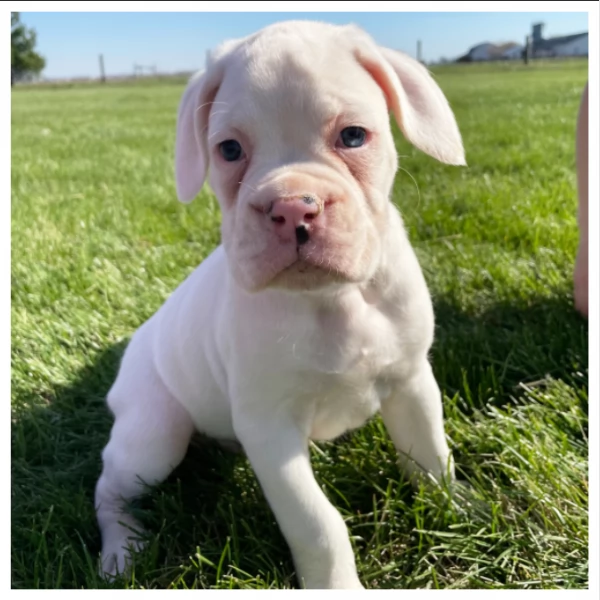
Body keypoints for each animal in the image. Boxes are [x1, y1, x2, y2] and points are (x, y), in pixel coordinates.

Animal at [96, 19, 466, 592]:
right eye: (228, 150)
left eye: (353, 136)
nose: (292, 206)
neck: (331, 301)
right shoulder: (270, 430)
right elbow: (317, 523)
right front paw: (336, 589)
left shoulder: (411, 382)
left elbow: (430, 455)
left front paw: (462, 512)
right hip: (153, 437)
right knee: (109, 486)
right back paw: (121, 548)